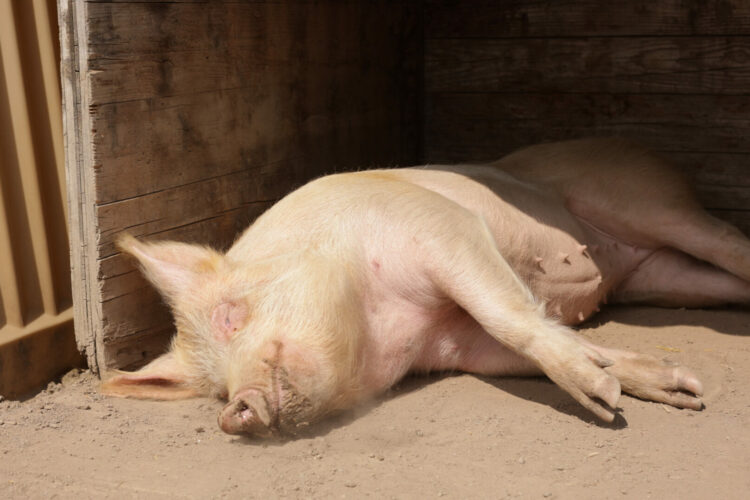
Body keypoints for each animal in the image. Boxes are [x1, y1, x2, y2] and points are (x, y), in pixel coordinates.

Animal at [102, 137, 750, 437]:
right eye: (215, 389)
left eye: (232, 316)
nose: (234, 411)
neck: (394, 322)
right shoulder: (461, 346)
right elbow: (525, 338)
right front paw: (679, 390)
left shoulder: (440, 229)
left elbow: (509, 313)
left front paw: (603, 400)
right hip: (658, 276)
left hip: (646, 200)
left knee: (727, 238)